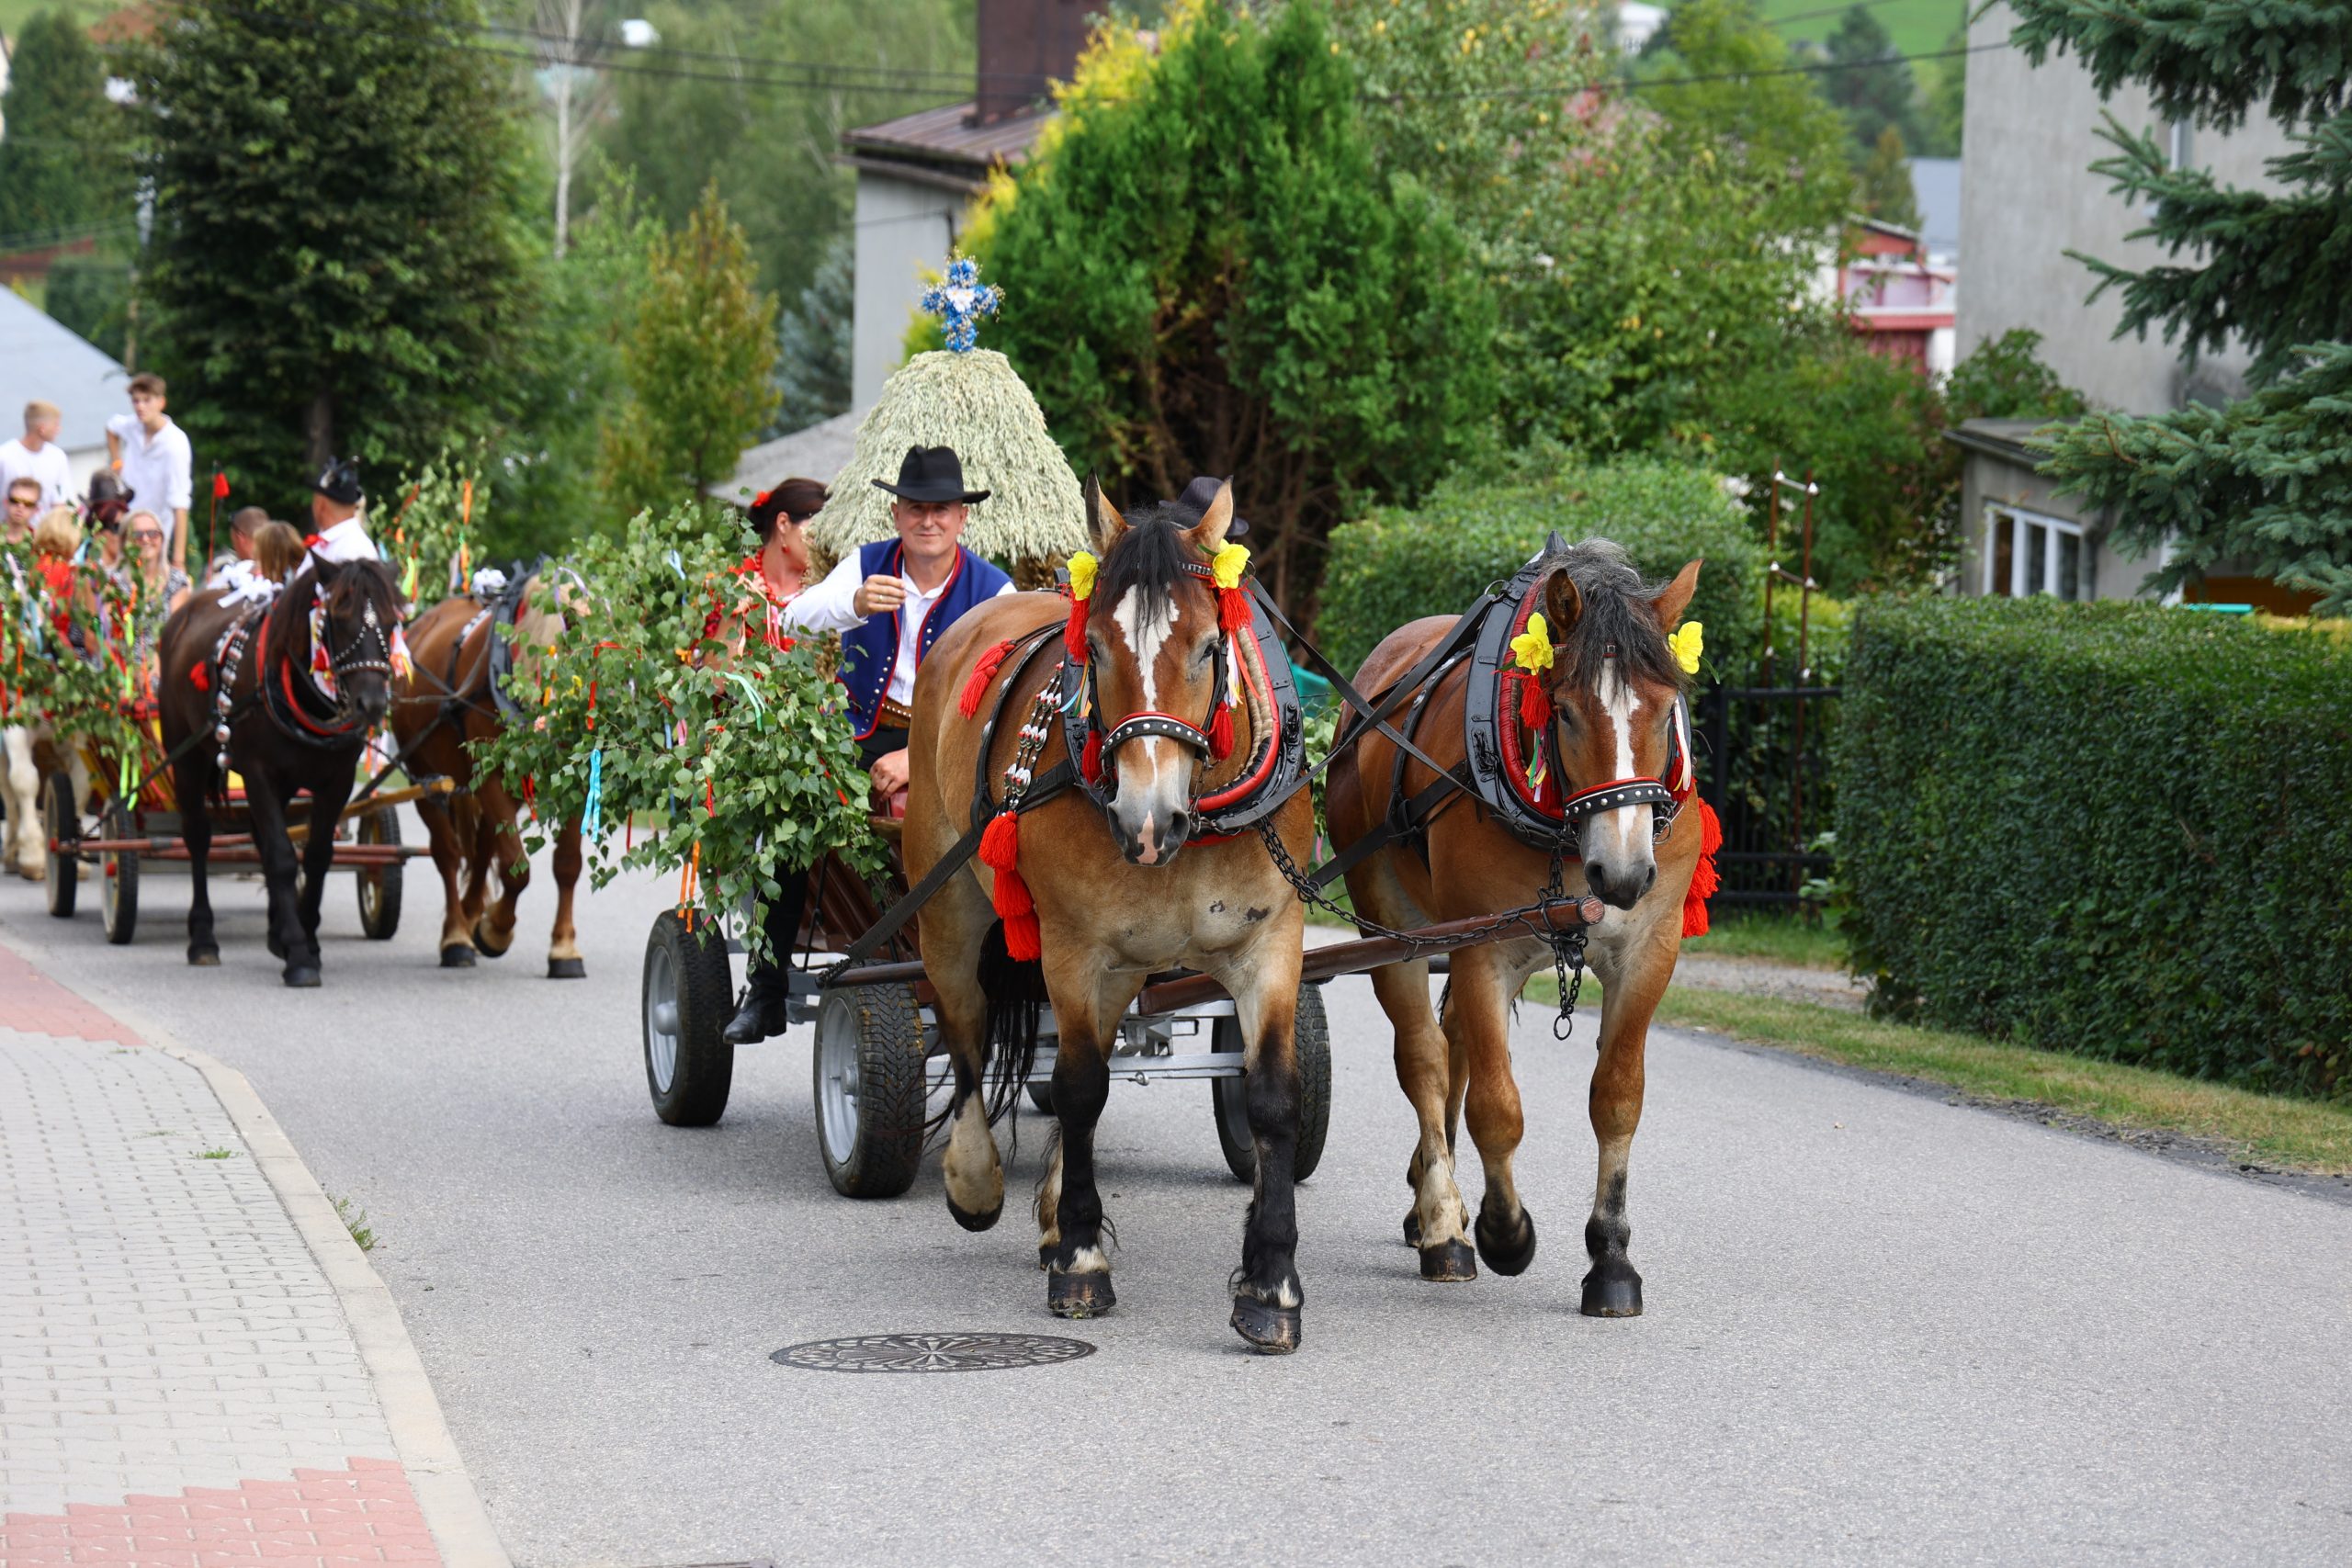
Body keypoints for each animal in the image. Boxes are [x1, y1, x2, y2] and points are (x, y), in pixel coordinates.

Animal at [158, 557, 401, 987]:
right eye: (340, 618)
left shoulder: (336, 781)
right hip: (186, 756)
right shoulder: (258, 773)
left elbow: (317, 856)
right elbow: (284, 857)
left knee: (258, 837)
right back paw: (203, 937)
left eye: (391, 622)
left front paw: (306, 940)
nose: (371, 703)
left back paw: (275, 932)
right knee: (199, 837)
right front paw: (299, 956)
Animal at [390, 570, 582, 973]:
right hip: (427, 779)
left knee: (480, 852)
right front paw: (495, 930)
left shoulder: (579, 778)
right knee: (448, 854)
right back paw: (457, 936)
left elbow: (567, 863)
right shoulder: (490, 775)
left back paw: (470, 914)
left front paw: (564, 948)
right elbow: (516, 868)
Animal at [903, 479, 1326, 1354]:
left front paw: (1270, 1282)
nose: (1146, 818)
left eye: (1208, 647)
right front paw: (1082, 1260)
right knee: (967, 1033)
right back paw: (977, 1175)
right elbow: (1078, 1085)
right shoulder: (1072, 946)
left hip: (1130, 962)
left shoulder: (1270, 938)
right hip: (948, 906)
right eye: (1094, 650)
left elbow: (1270, 1094)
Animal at [1326, 545, 1712, 1316]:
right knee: (1426, 1058)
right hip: (1396, 925)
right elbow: (1496, 1107)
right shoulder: (1486, 950)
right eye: (1562, 711)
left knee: (1454, 1047)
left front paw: (1611, 1258)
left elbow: (1616, 1098)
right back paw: (1443, 1223)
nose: (1623, 873)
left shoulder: (1647, 950)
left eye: (1663, 710)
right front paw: (1504, 1231)